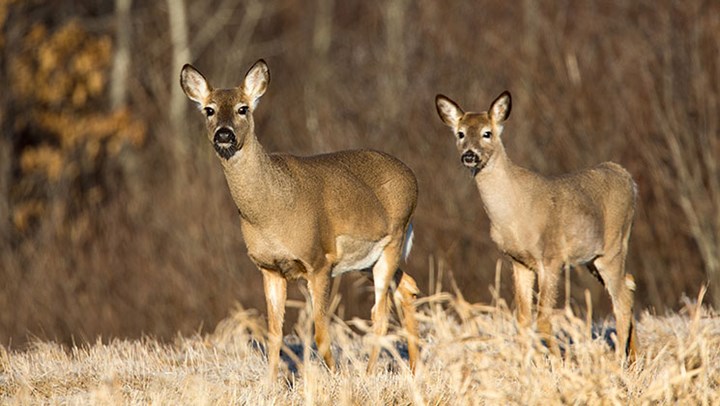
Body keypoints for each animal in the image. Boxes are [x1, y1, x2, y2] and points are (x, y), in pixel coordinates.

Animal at [180, 58, 422, 380]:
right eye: (209, 109)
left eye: (243, 108)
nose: (224, 134)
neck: (270, 213)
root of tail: (412, 176)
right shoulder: (269, 268)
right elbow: (274, 335)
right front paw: (271, 385)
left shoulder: (319, 262)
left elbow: (320, 332)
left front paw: (336, 378)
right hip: (368, 259)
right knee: (407, 287)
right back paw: (413, 370)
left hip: (393, 240)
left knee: (380, 313)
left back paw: (371, 374)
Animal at [436, 90, 640, 360]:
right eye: (460, 133)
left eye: (487, 133)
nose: (470, 155)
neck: (514, 216)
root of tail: (628, 178)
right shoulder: (518, 262)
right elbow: (522, 318)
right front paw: (526, 364)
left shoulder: (551, 258)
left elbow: (543, 318)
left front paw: (558, 362)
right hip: (593, 258)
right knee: (629, 286)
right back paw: (635, 357)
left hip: (613, 247)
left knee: (622, 302)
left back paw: (618, 361)